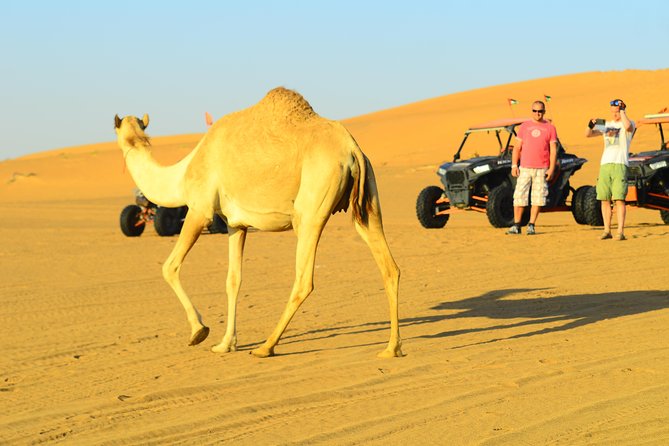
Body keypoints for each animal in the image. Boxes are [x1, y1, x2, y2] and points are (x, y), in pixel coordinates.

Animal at [114, 87, 402, 358]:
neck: (181, 174)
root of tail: (352, 149)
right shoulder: (235, 225)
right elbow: (233, 280)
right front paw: (225, 344)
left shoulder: (199, 210)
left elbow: (169, 267)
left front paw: (199, 331)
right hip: (369, 203)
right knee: (390, 267)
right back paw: (392, 348)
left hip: (311, 207)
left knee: (304, 279)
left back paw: (266, 346)